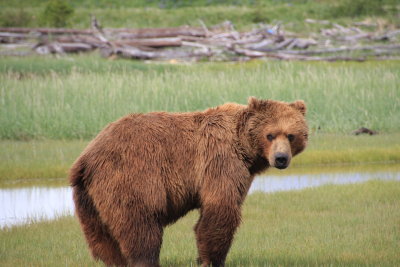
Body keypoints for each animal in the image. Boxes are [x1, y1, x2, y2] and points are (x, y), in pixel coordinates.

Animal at [70, 98, 310, 267]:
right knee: (141, 225)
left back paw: (114, 261)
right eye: (270, 135)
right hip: (131, 176)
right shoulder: (219, 159)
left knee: (101, 236)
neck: (245, 149)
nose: (281, 158)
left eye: (291, 135)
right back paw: (146, 260)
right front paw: (212, 259)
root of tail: (86, 158)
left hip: (88, 196)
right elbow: (219, 209)